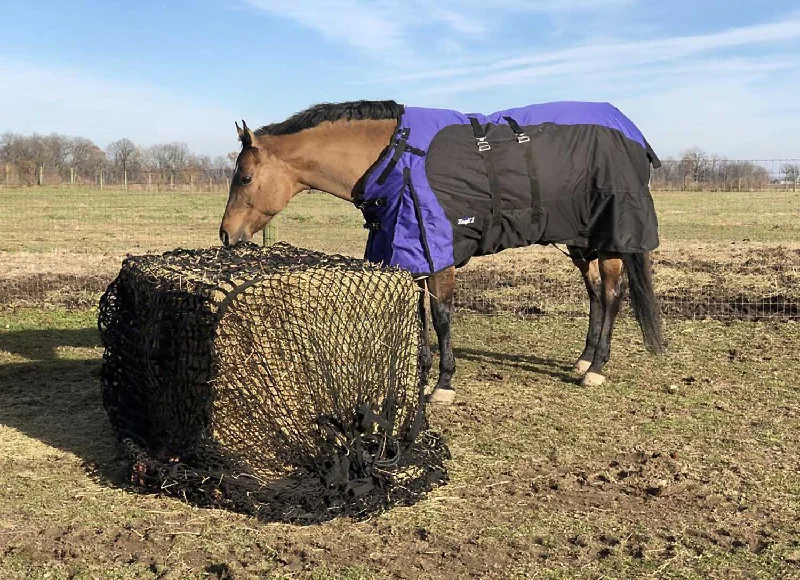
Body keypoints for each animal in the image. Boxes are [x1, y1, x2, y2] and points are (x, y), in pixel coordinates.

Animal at [219, 99, 664, 406]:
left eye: (245, 178)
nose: (226, 234)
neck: (398, 160)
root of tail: (632, 133)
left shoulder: (439, 256)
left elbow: (441, 317)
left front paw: (443, 385)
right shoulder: (413, 257)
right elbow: (418, 319)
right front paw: (419, 377)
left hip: (610, 240)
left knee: (612, 296)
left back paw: (597, 368)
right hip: (581, 240)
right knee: (595, 296)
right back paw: (583, 360)